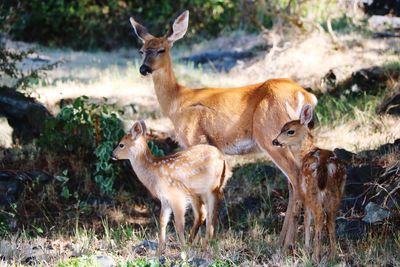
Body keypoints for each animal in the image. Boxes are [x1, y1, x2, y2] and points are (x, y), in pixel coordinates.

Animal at [130, 10, 318, 249]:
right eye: (142, 50)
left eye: (161, 49)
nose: (144, 69)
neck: (177, 102)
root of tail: (305, 95)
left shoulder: (195, 139)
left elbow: (201, 200)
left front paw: (197, 241)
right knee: (294, 181)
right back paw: (281, 241)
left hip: (270, 134)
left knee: (294, 176)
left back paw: (286, 245)